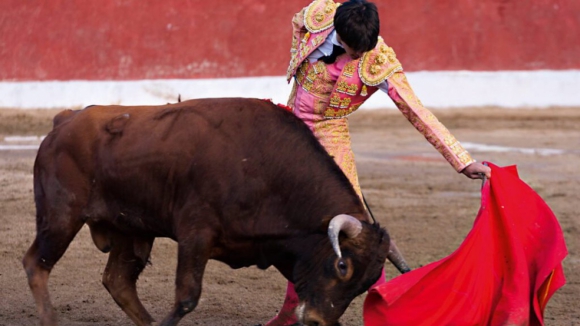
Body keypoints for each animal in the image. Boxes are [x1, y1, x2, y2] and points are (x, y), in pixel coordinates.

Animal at [21, 97, 404, 326]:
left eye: (368, 282)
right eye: (342, 265)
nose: (315, 322)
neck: (266, 167)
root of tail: (64, 120)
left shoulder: (281, 248)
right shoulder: (196, 234)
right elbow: (187, 297)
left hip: (131, 230)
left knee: (118, 281)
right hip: (60, 218)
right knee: (37, 264)